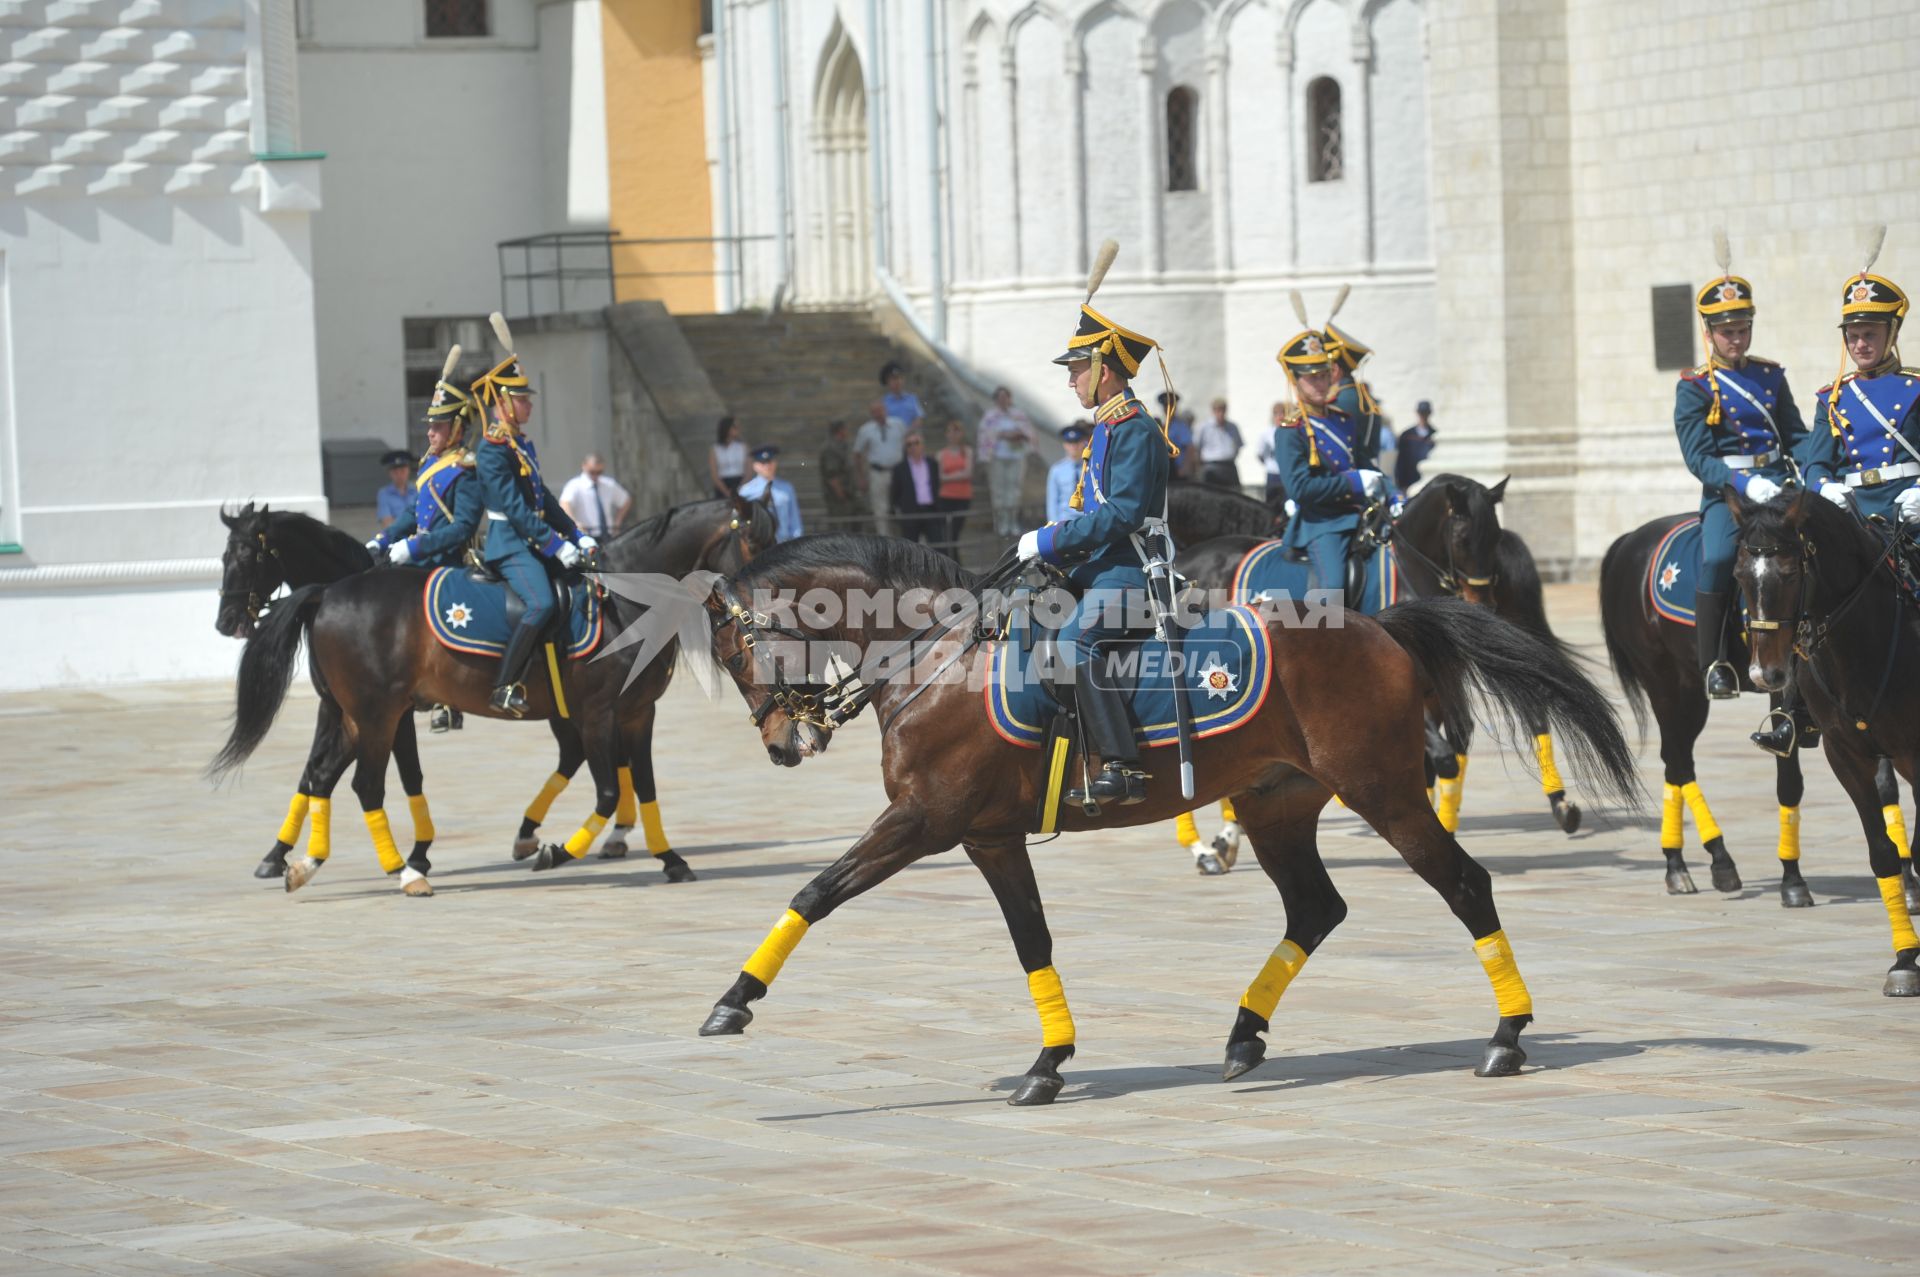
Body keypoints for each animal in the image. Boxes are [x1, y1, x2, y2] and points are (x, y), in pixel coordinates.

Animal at [208, 491, 771, 891]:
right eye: (756, 542)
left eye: (248, 556)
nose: (226, 621)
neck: (624, 601)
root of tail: (327, 594)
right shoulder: (597, 714)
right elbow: (608, 791)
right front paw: (554, 852)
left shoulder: (637, 713)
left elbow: (644, 786)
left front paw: (670, 858)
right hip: (372, 714)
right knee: (358, 782)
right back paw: (401, 871)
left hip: (364, 716)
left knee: (332, 776)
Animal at [691, 533, 1635, 1098]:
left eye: (735, 649)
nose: (782, 742)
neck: (940, 660)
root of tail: (1379, 625)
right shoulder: (989, 837)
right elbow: (1032, 942)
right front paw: (1049, 1060)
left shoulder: (924, 820)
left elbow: (816, 892)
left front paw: (734, 1000)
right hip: (1277, 805)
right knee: (1315, 908)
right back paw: (1245, 1035)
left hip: (1387, 793)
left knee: (1465, 885)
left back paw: (1506, 1035)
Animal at [1597, 506, 1912, 906]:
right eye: (1741, 577)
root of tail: (1630, 540)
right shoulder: (1784, 690)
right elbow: (1789, 782)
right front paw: (1792, 880)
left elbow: (1885, 784)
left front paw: (1907, 877)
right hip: (1664, 683)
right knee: (1679, 762)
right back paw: (1702, 863)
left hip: (1689, 691)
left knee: (1676, 762)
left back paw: (1687, 861)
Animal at [1728, 483, 1920, 990]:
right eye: (1738, 573)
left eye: (1792, 572)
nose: (1766, 673)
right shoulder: (1846, 754)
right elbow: (1882, 854)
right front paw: (1905, 960)